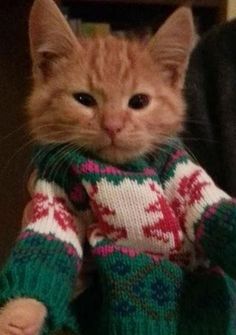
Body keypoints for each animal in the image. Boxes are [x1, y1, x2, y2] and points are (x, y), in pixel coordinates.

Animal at [0, 0, 194, 334]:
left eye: (139, 101)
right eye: (83, 99)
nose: (112, 125)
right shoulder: (54, 195)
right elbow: (47, 246)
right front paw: (19, 314)